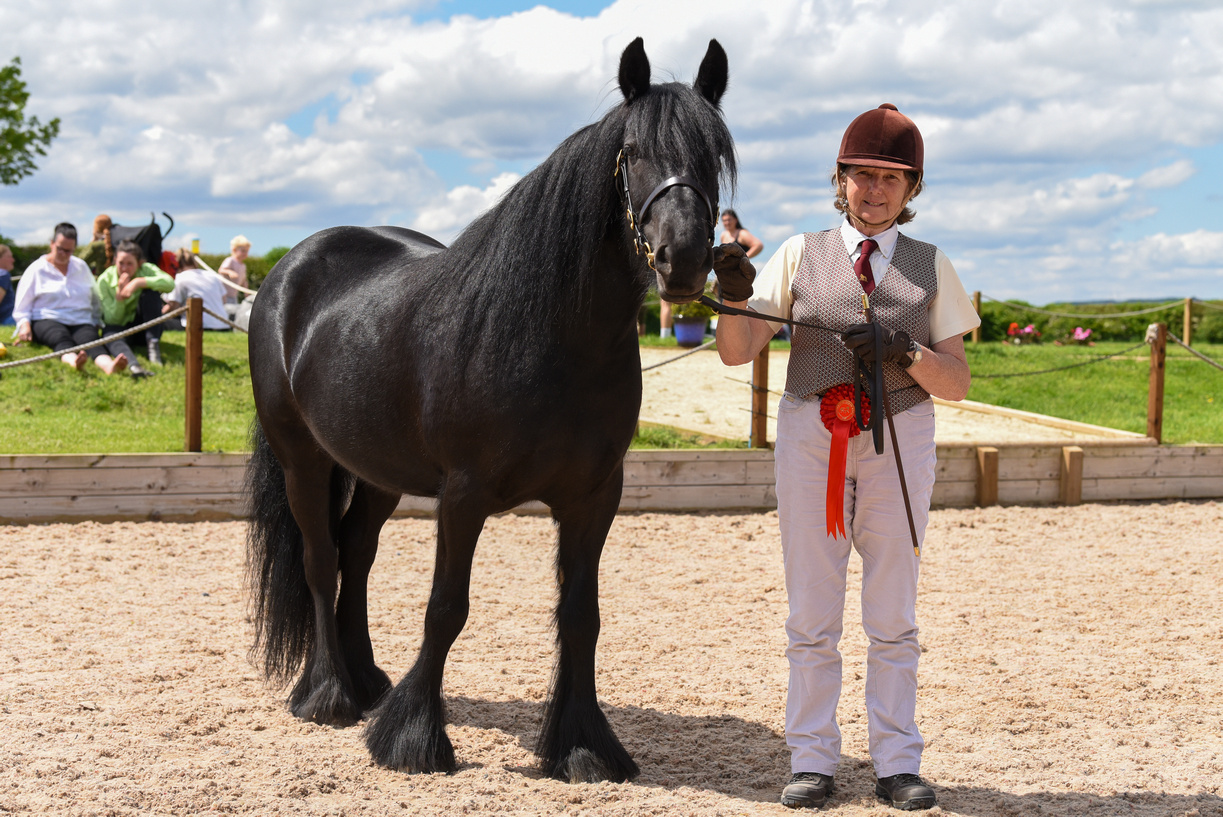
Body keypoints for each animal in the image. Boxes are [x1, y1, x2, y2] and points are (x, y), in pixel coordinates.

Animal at [243, 39, 728, 782]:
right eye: (632, 150)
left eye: (716, 154)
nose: (684, 259)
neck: (556, 340)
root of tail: (286, 272)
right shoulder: (464, 495)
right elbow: (446, 607)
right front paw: (414, 739)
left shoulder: (595, 497)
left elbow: (581, 614)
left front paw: (583, 745)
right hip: (303, 457)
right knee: (321, 558)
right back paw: (327, 693)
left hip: (378, 472)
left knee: (356, 553)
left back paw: (367, 680)